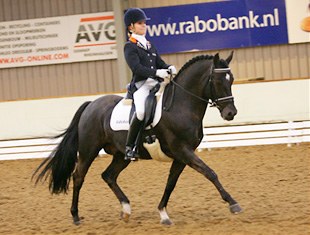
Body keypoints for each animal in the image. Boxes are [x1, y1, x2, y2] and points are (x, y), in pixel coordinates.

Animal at [34, 52, 242, 225]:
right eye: (216, 81)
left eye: (231, 80)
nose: (230, 113)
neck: (181, 106)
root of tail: (92, 104)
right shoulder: (182, 150)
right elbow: (210, 173)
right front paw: (233, 203)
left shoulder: (182, 156)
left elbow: (171, 183)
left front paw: (163, 214)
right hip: (88, 150)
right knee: (78, 177)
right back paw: (76, 216)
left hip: (120, 155)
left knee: (108, 175)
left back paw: (126, 210)